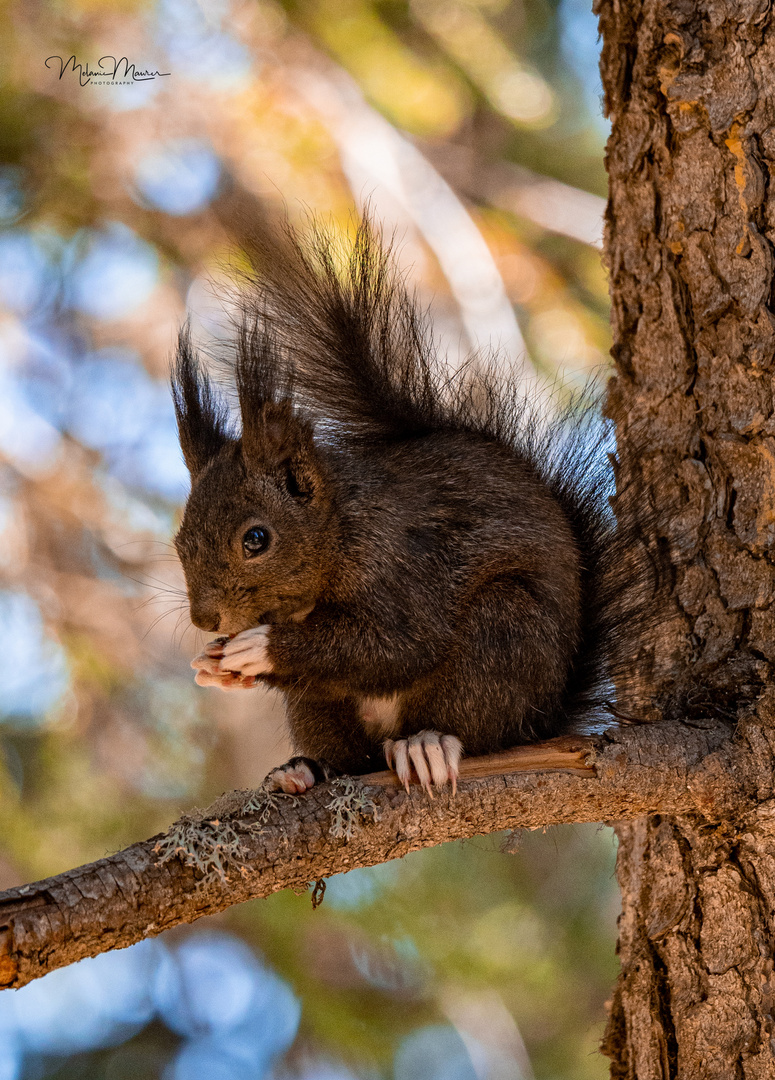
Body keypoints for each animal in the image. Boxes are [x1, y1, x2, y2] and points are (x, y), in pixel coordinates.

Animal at [172, 214, 651, 799]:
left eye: (256, 539)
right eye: (179, 543)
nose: (205, 618)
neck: (340, 530)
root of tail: (544, 717)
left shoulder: (408, 565)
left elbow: (399, 644)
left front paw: (257, 649)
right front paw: (211, 663)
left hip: (505, 633)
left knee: (474, 725)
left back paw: (428, 743)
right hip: (318, 708)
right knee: (351, 758)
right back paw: (304, 770)